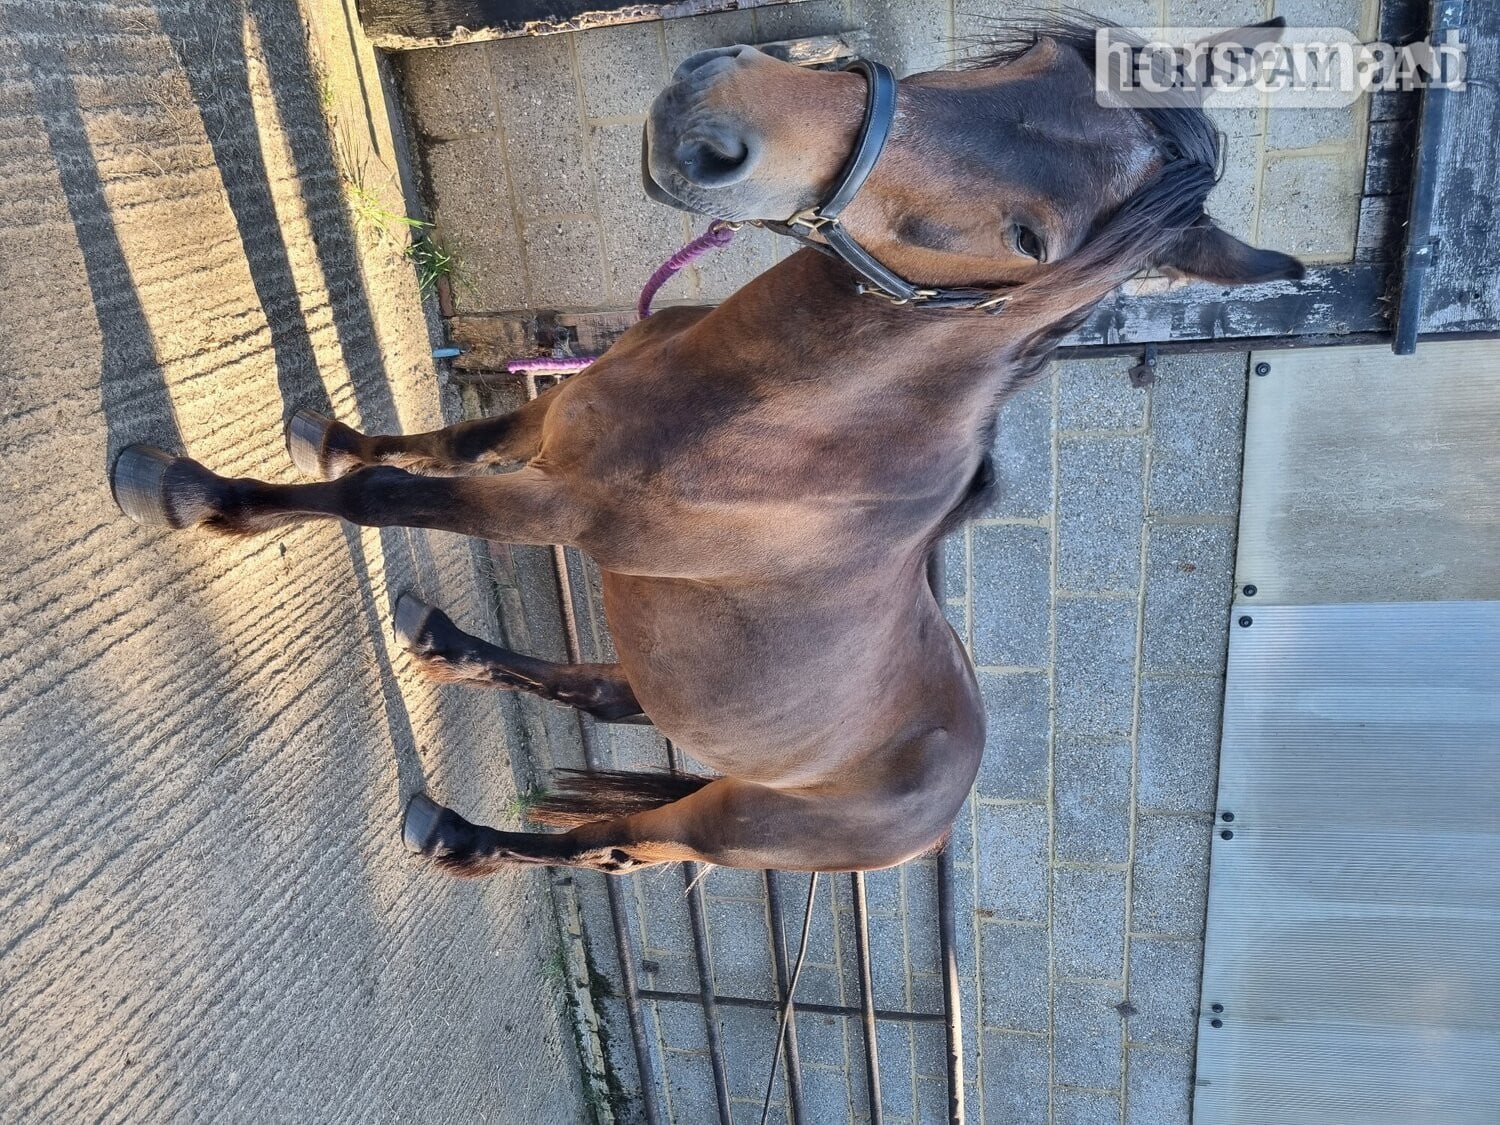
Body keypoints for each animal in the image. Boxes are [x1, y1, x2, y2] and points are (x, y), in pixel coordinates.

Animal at [111, 18, 1302, 878]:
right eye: (1031, 54)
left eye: (1032, 242)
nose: (714, 122)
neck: (777, 414)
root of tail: (945, 802)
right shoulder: (548, 420)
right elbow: (445, 441)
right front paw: (327, 433)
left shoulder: (555, 508)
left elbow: (386, 497)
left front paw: (191, 493)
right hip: (668, 681)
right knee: (603, 695)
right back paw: (443, 643)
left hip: (723, 822)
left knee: (612, 844)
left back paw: (462, 836)